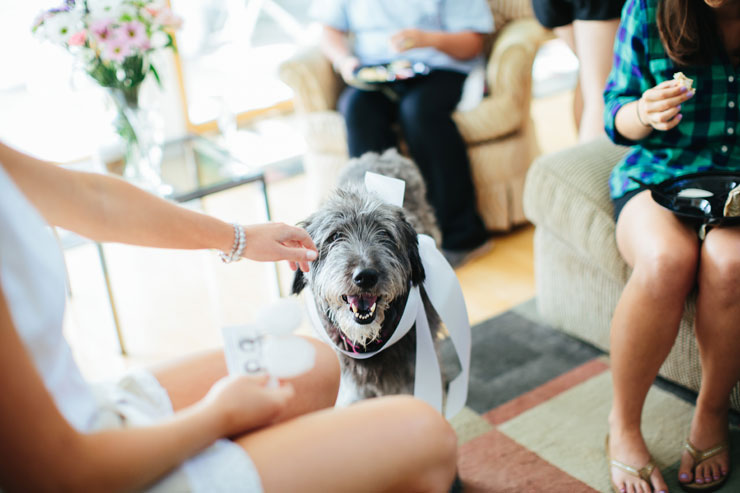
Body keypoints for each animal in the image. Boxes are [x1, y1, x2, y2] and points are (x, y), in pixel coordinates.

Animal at [294, 149, 446, 400]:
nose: (365, 276)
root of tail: (381, 154)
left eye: (384, 233)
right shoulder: (353, 385)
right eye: (335, 236)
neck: (368, 341)